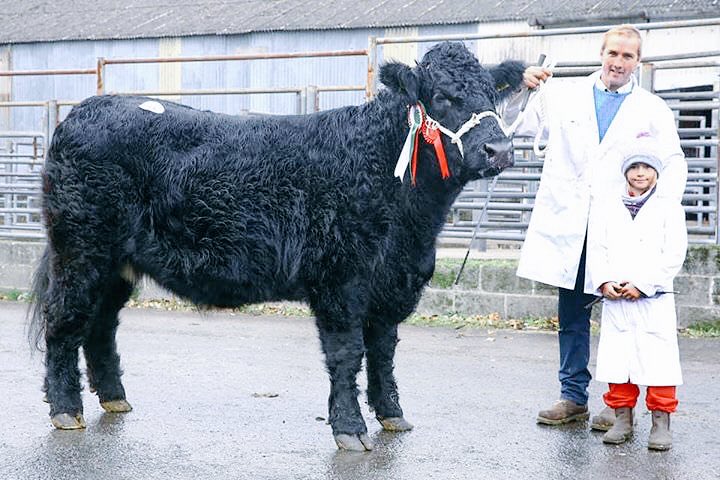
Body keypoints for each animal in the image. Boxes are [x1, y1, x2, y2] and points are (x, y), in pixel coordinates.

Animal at [28, 41, 526, 451]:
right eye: (442, 97)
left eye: (492, 95)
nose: (500, 150)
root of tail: (90, 107)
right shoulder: (339, 280)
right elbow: (348, 354)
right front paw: (350, 429)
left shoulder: (392, 284)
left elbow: (384, 353)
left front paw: (392, 415)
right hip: (80, 248)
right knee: (65, 320)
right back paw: (66, 409)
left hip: (117, 263)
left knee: (100, 324)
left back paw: (115, 399)